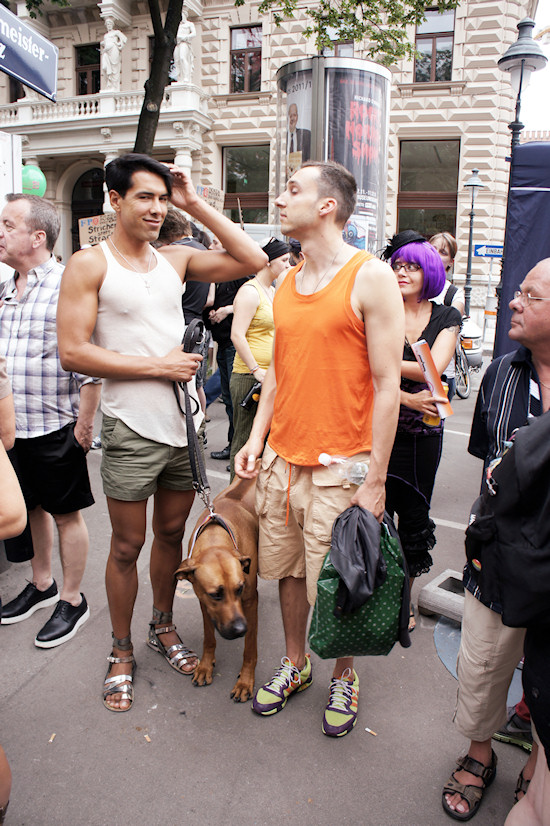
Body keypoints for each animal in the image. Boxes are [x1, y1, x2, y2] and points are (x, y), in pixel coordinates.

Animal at [179, 474, 260, 700]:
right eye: (215, 595)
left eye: (239, 589)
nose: (240, 629)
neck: (215, 538)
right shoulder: (204, 602)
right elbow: (209, 638)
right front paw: (206, 666)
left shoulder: (250, 601)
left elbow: (250, 648)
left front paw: (245, 681)